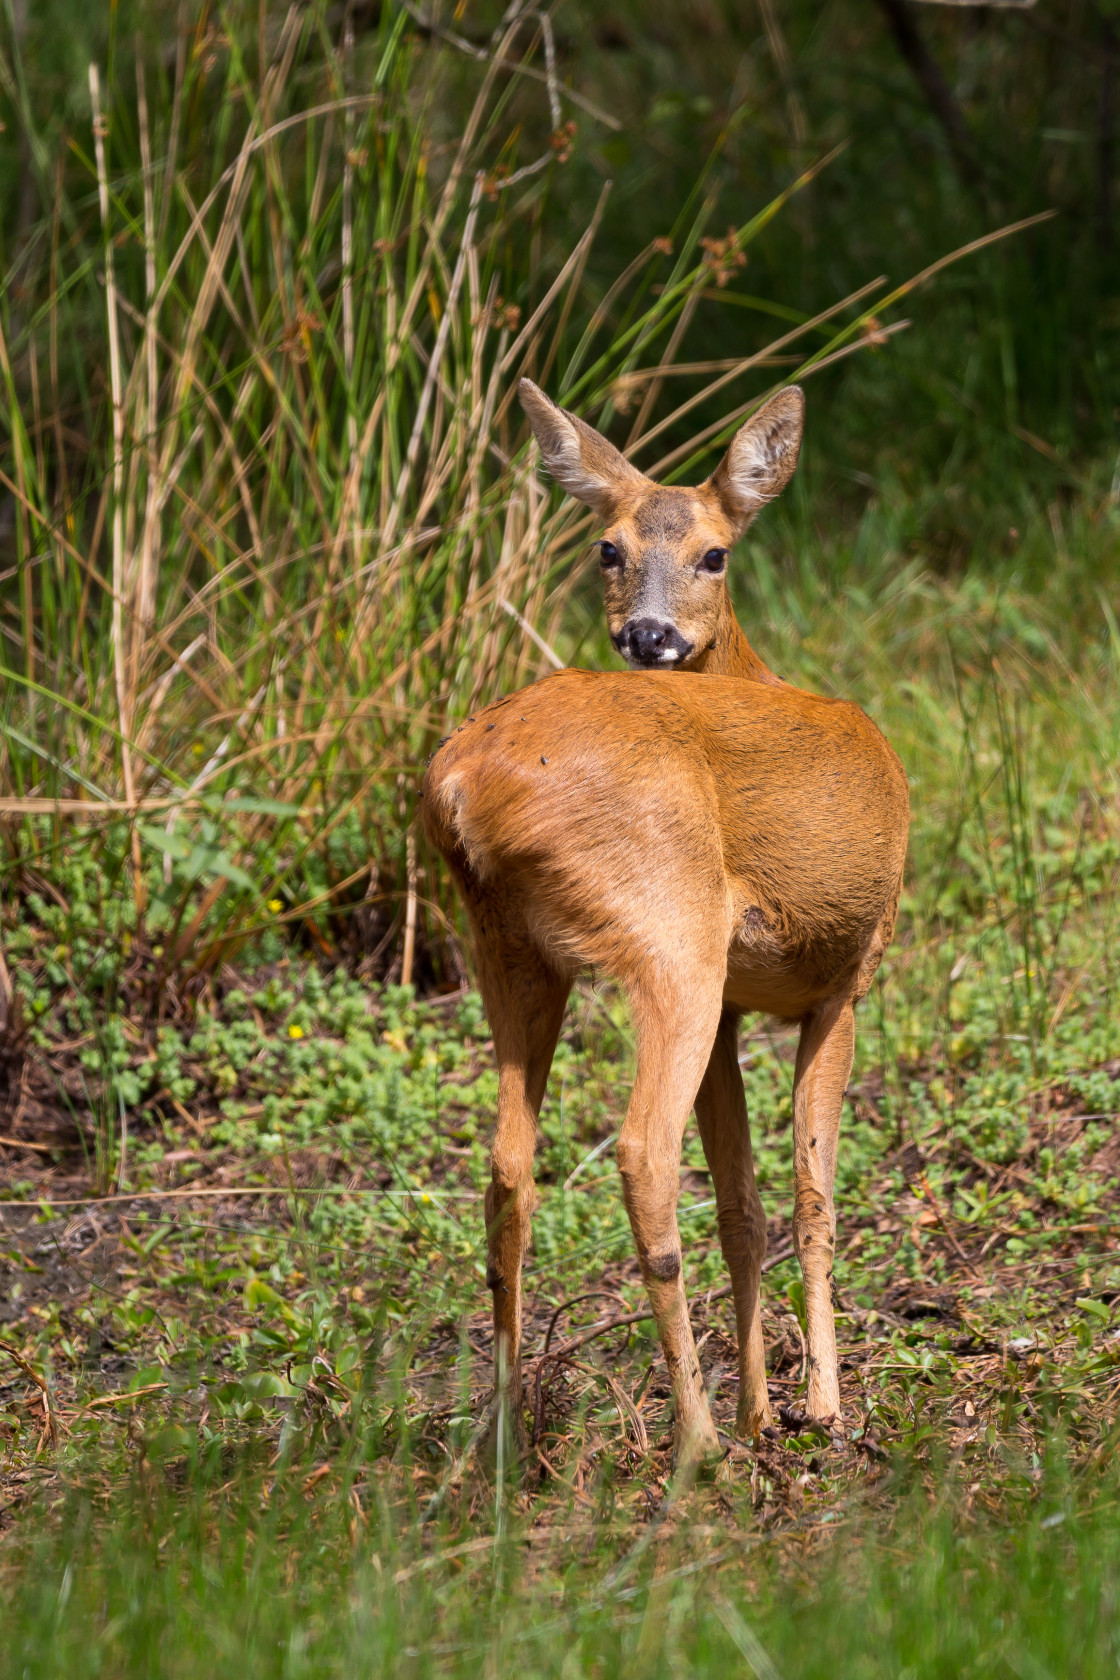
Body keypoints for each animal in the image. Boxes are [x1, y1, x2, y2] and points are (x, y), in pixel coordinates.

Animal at [423, 378, 913, 1458]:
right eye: (605, 548)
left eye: (714, 552)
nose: (648, 638)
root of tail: (461, 782)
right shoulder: (845, 979)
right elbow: (812, 1197)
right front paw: (820, 1408)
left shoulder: (737, 1006)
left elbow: (744, 1204)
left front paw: (766, 1408)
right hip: (666, 934)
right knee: (642, 1154)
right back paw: (699, 1447)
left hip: (509, 947)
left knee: (507, 1167)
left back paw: (508, 1433)